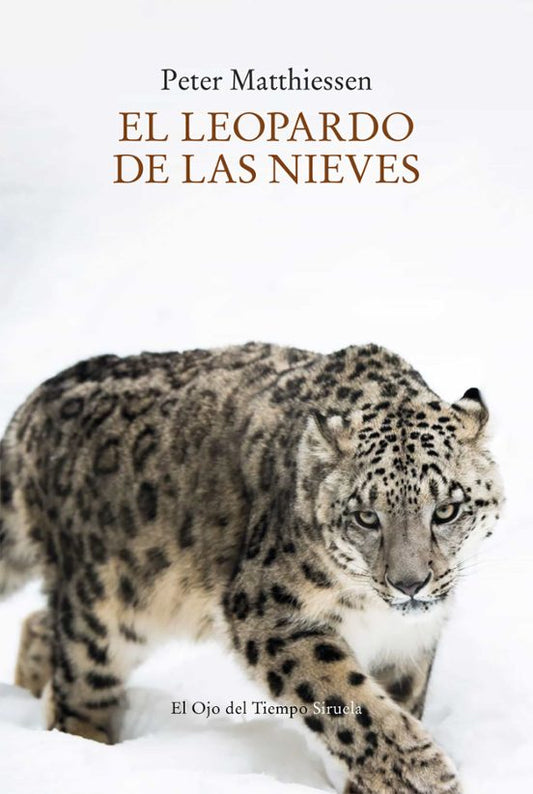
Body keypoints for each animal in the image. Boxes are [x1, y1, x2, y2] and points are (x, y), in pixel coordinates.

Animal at [0, 342, 503, 793]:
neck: (375, 614)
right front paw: (423, 775)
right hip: (103, 610)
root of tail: (34, 403)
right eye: (366, 517)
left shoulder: (409, 643)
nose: (409, 584)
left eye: (446, 510)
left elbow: (398, 702)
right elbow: (348, 701)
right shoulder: (270, 614)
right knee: (78, 687)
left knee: (41, 623)